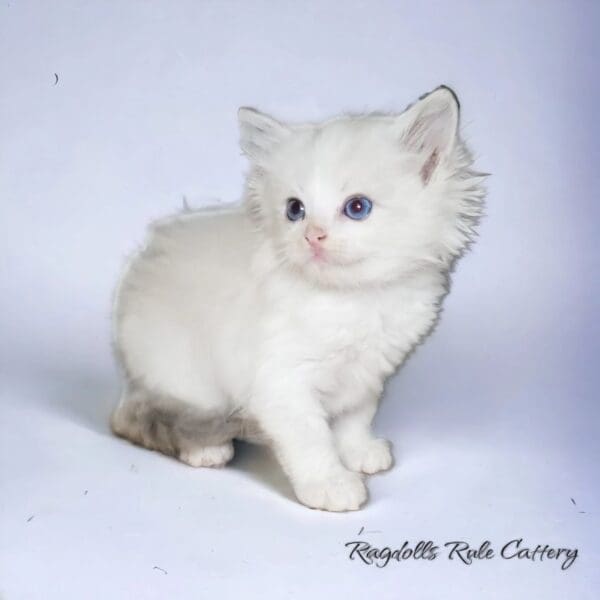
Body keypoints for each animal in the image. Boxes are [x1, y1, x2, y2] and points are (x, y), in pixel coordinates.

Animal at [111, 85, 488, 510]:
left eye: (357, 207)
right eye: (295, 210)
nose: (312, 236)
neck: (354, 299)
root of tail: (143, 257)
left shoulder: (368, 372)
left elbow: (355, 417)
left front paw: (359, 451)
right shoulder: (282, 381)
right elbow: (311, 440)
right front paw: (331, 484)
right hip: (182, 376)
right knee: (151, 417)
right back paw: (206, 449)